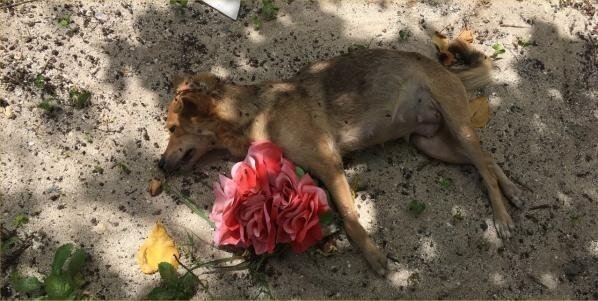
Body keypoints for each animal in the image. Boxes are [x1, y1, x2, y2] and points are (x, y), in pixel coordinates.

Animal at [158, 39, 524, 274]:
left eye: (173, 127)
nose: (159, 164)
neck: (253, 113)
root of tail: (443, 68)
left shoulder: (329, 164)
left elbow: (349, 217)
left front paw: (374, 257)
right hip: (430, 142)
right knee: (485, 160)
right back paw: (513, 191)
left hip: (456, 126)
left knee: (483, 165)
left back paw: (503, 217)